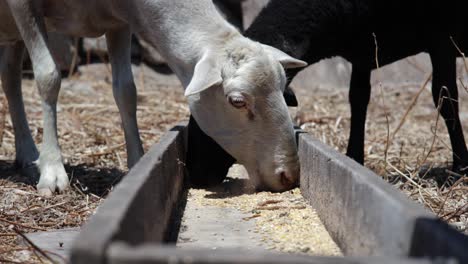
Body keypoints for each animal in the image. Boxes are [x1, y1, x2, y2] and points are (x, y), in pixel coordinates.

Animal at [186, 0, 468, 186]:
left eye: (232, 105)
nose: (194, 172)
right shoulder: (364, 51)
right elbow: (358, 100)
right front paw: (354, 159)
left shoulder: (441, 38)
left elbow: (445, 98)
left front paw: (460, 168)